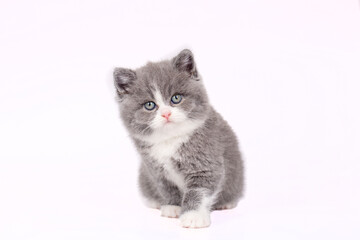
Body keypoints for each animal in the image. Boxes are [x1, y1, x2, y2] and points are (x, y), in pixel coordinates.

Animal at [114, 49, 243, 229]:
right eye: (149, 105)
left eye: (176, 98)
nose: (166, 113)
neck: (170, 139)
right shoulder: (155, 170)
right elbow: (167, 187)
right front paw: (173, 207)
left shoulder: (206, 162)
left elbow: (199, 190)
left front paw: (193, 216)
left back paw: (226, 203)